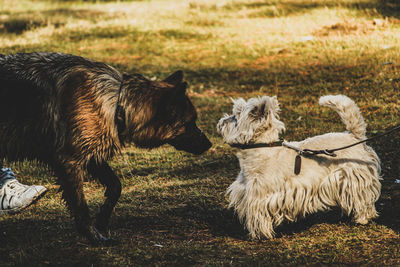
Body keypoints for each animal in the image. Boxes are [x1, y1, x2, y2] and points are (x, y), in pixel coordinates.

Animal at [0, 52, 212, 245]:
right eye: (190, 123)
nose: (209, 144)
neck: (118, 102)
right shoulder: (69, 162)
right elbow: (81, 208)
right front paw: (94, 237)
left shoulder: (92, 156)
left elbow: (116, 186)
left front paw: (102, 220)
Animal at [219, 95, 382, 240]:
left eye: (235, 117)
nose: (221, 121)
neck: (262, 148)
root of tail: (353, 135)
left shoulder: (260, 197)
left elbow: (259, 216)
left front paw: (260, 235)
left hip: (355, 176)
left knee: (363, 198)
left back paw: (362, 218)